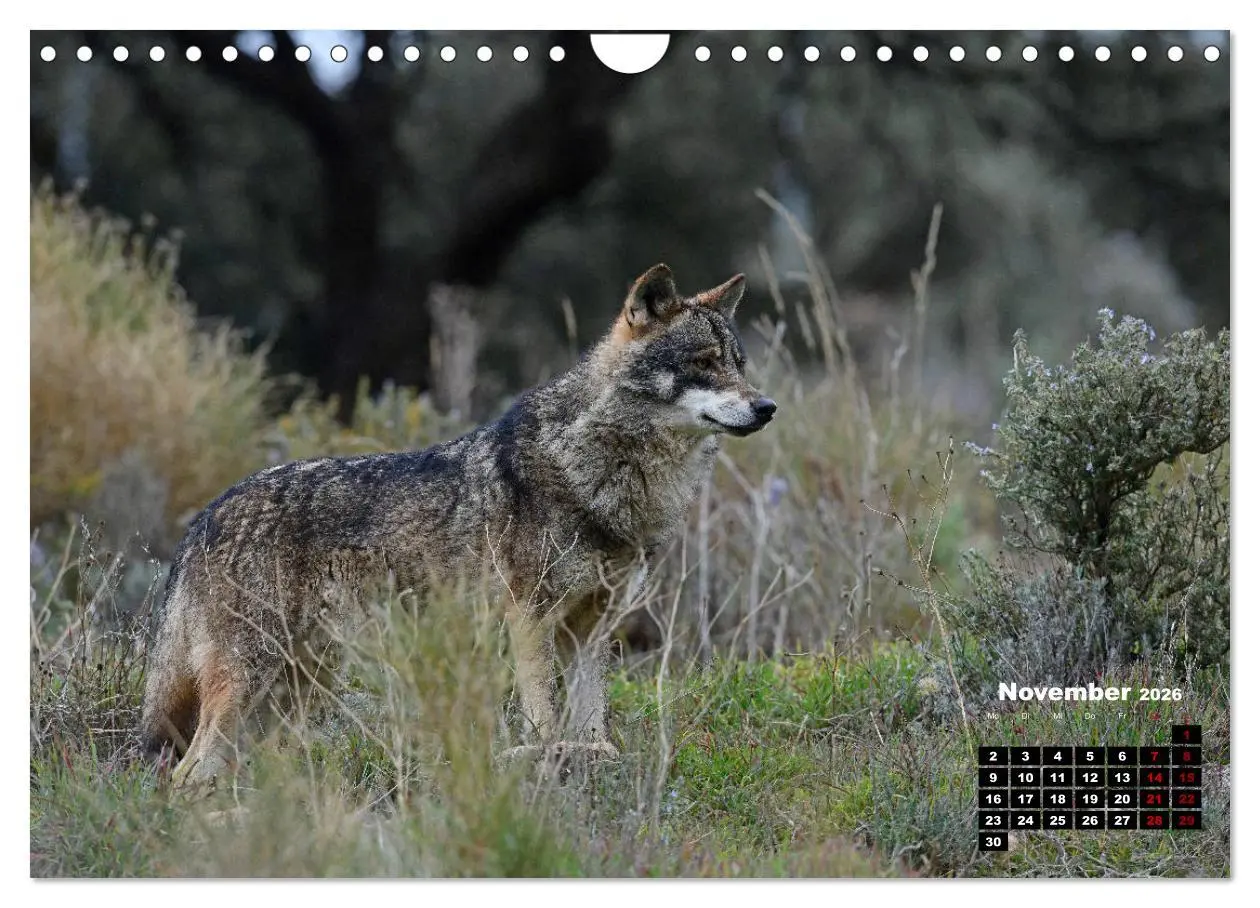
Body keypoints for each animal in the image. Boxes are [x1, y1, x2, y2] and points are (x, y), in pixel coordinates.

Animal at [138, 264, 777, 788]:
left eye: (740, 365)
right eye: (704, 363)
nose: (767, 407)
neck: (600, 472)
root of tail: (204, 517)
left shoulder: (593, 629)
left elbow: (592, 719)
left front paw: (593, 759)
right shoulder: (530, 617)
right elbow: (543, 717)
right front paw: (547, 762)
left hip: (297, 686)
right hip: (255, 679)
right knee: (189, 772)